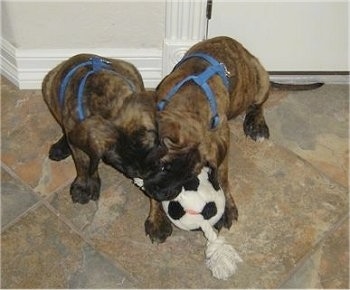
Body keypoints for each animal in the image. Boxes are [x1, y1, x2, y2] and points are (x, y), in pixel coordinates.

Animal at [43, 53, 157, 204]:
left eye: (150, 148)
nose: (144, 174)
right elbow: (85, 164)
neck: (109, 102)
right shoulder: (81, 142)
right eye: (118, 162)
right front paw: (84, 186)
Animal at [141, 35, 322, 242]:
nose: (161, 193)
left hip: (261, 80)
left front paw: (227, 207)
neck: (190, 102)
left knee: (258, 104)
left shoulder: (221, 143)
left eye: (190, 177)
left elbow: (222, 177)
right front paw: (157, 219)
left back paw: (256, 124)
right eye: (162, 167)